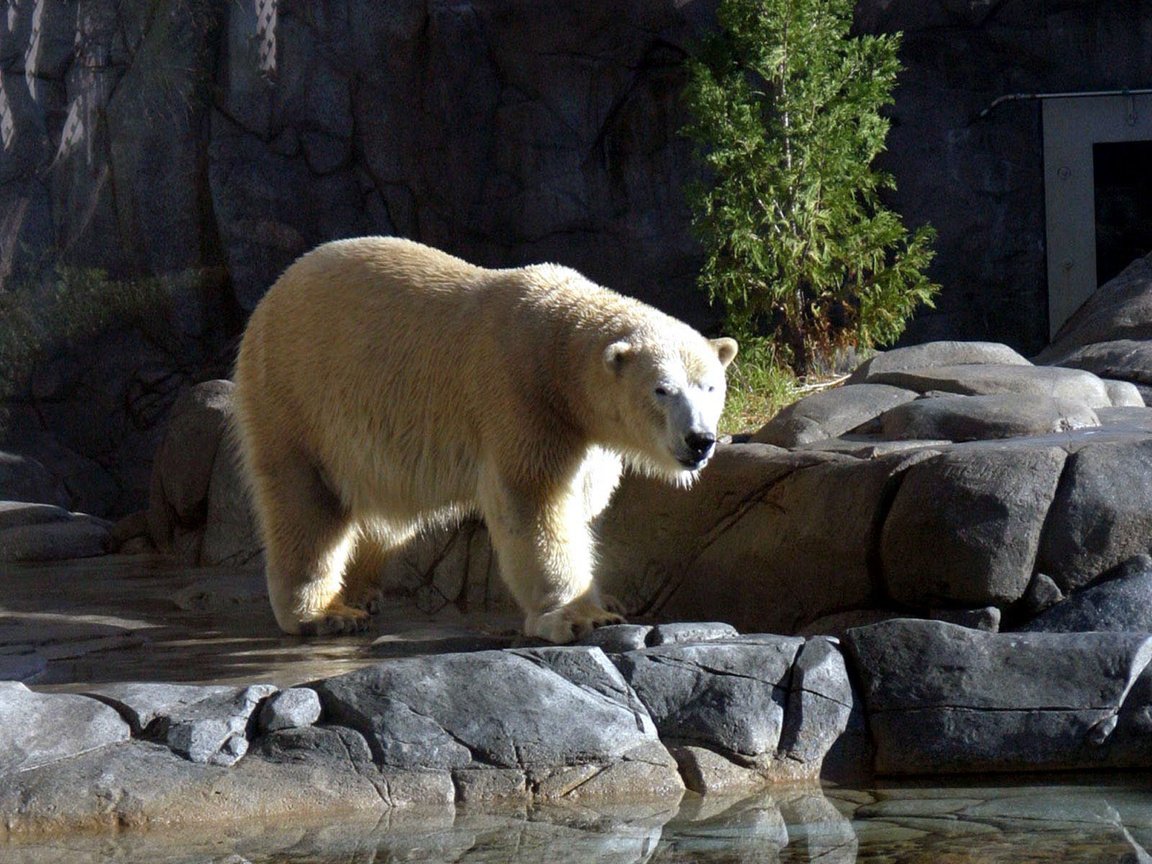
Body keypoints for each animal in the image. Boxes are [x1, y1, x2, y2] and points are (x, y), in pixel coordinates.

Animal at [232, 237, 737, 645]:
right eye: (662, 389)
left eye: (710, 386)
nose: (700, 440)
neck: (557, 349)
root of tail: (271, 295)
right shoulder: (521, 397)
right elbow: (533, 503)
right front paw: (579, 616)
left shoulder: (585, 433)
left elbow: (584, 499)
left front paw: (606, 600)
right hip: (296, 395)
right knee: (306, 504)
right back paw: (325, 613)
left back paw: (362, 591)